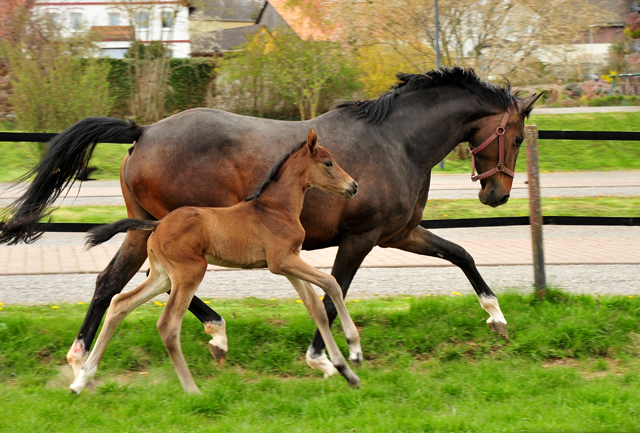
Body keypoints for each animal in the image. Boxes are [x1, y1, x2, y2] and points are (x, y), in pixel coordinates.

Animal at [70, 127, 362, 392]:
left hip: (162, 276)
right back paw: (192, 389)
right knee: (167, 325)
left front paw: (344, 371)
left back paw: (81, 380)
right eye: (328, 162)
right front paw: (354, 349)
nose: (354, 186)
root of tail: (158, 223)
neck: (277, 207)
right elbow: (332, 283)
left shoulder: (289, 264)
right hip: (190, 272)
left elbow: (316, 308)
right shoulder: (282, 261)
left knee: (120, 304)